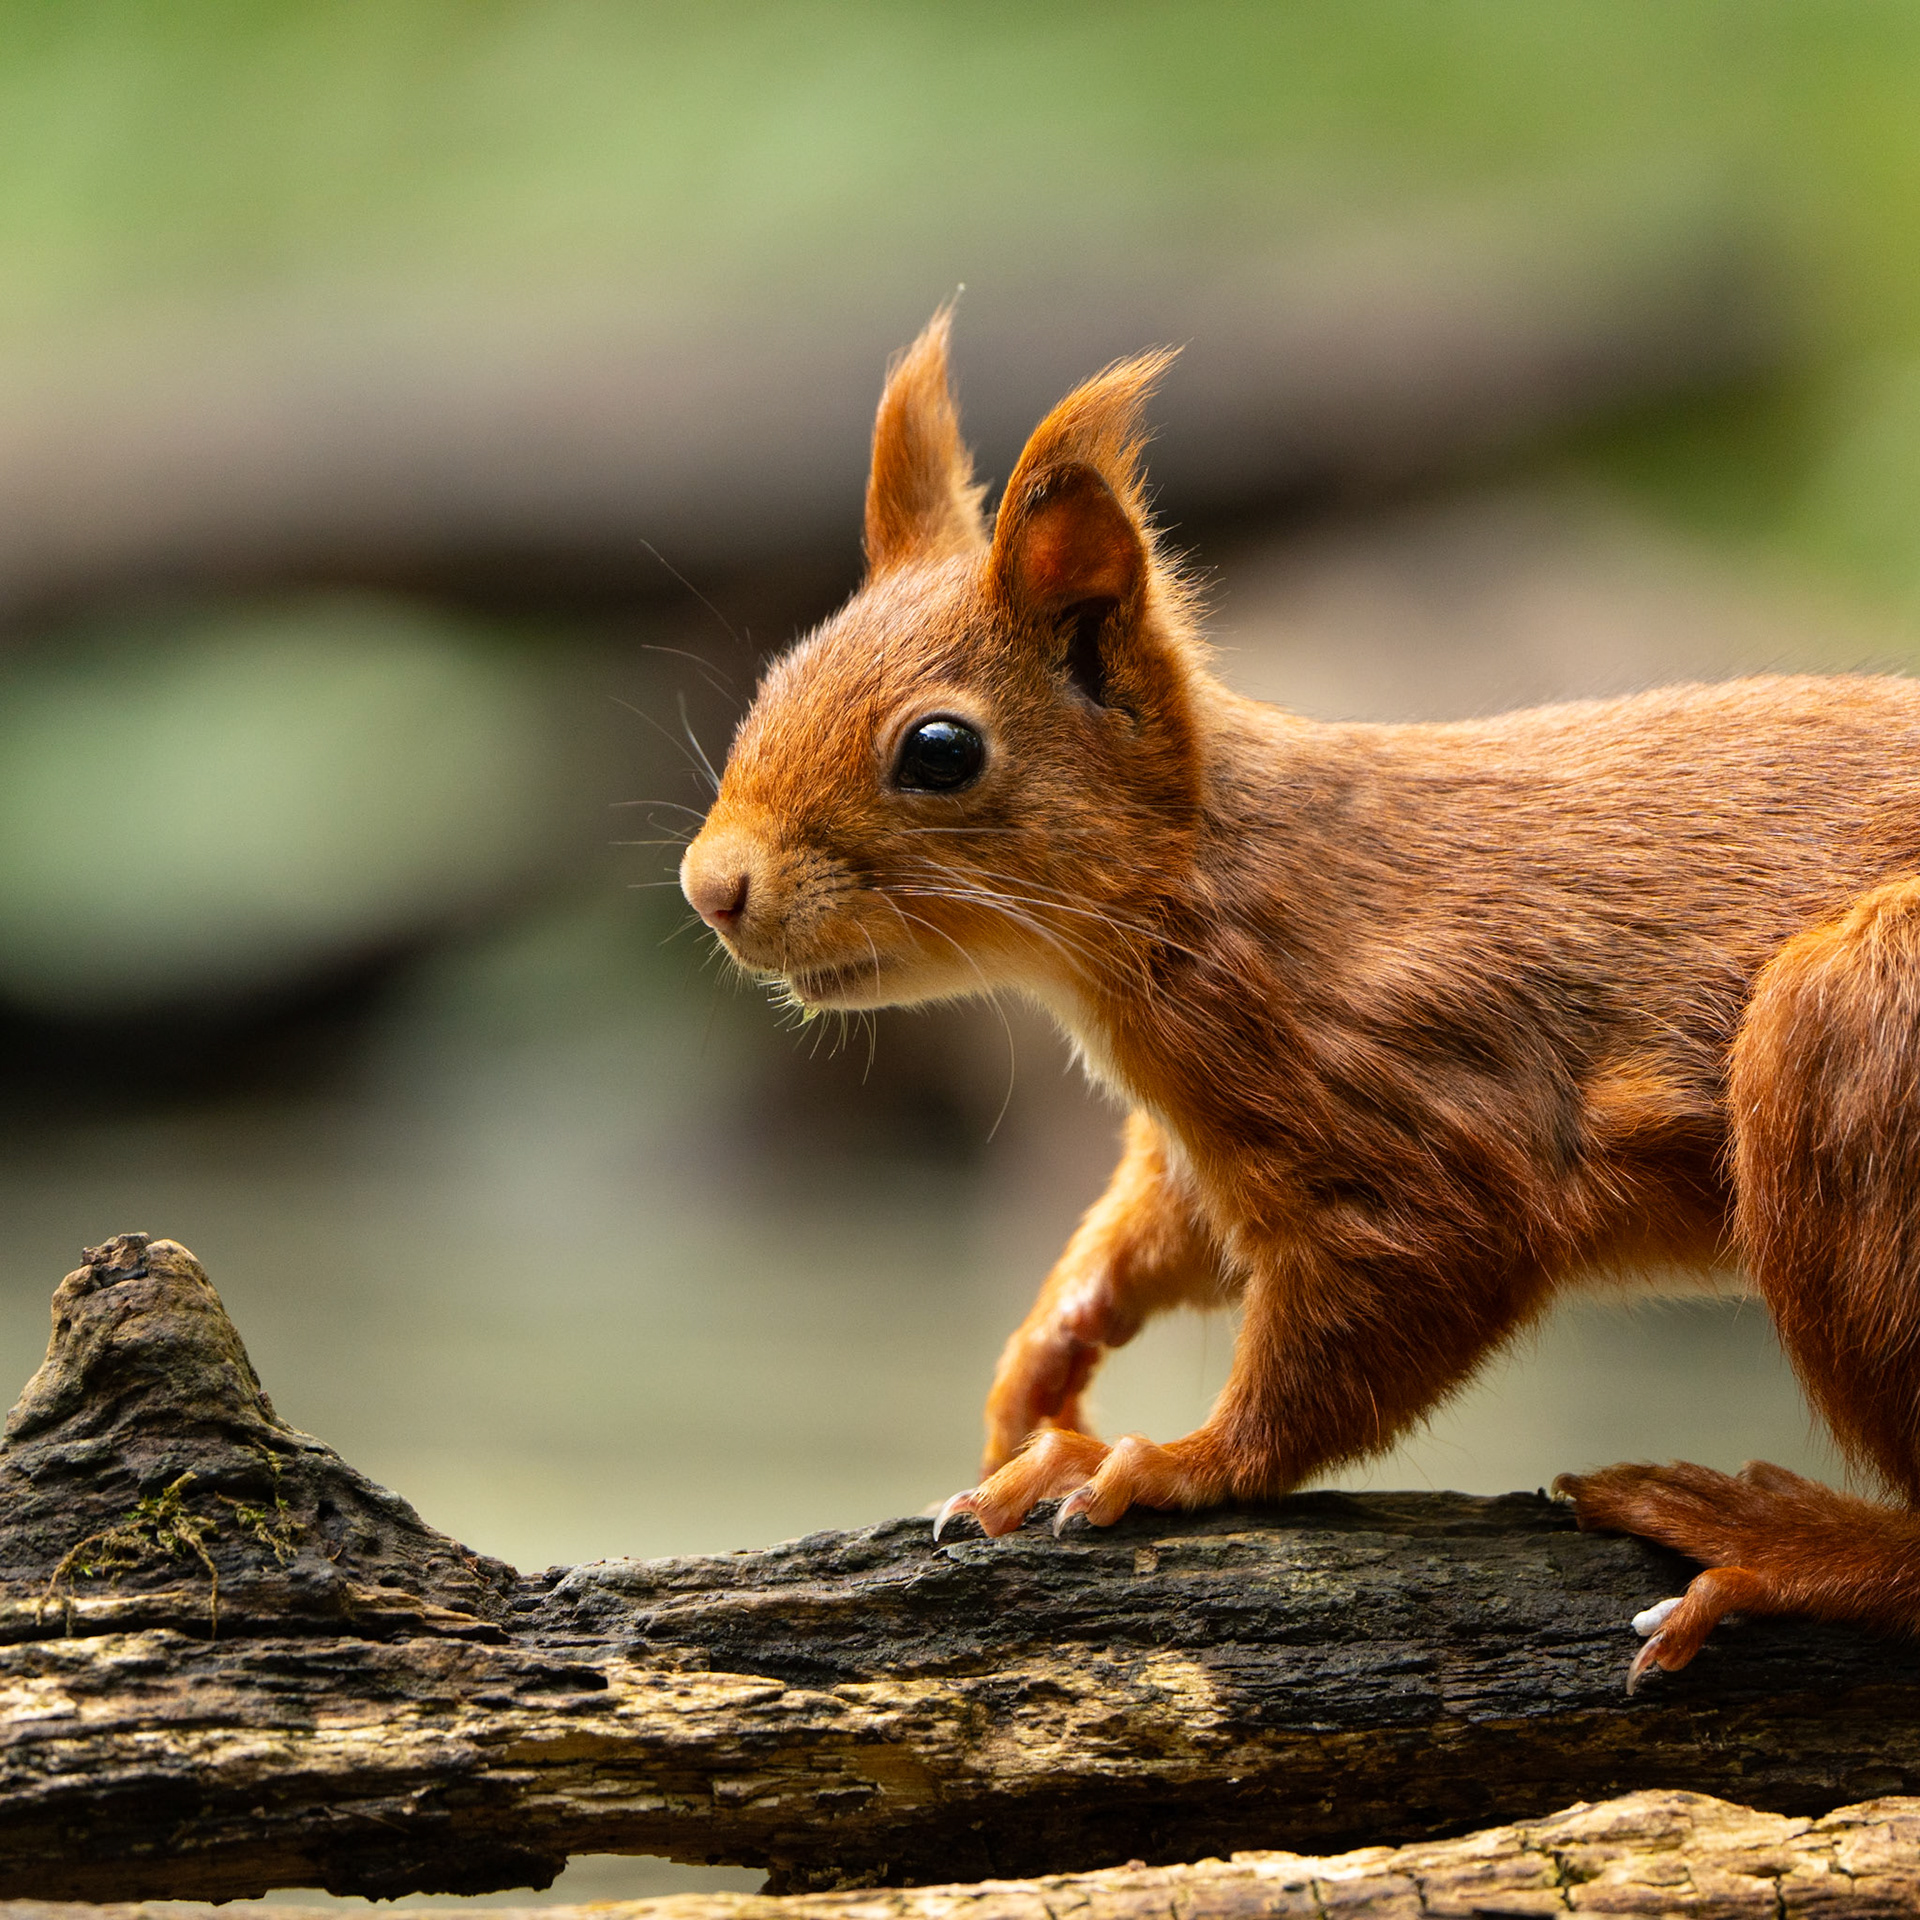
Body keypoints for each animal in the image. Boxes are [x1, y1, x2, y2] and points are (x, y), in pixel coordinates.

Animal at [680, 307, 1920, 1688]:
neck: (1205, 889)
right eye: (775, 678)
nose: (712, 886)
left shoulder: (1406, 1095)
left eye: (940, 751)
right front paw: (1040, 1368)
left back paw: (1779, 1543)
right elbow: (1155, 1230)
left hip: (1856, 1025)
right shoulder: (1209, 1146)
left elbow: (1392, 1299)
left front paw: (1163, 1462)